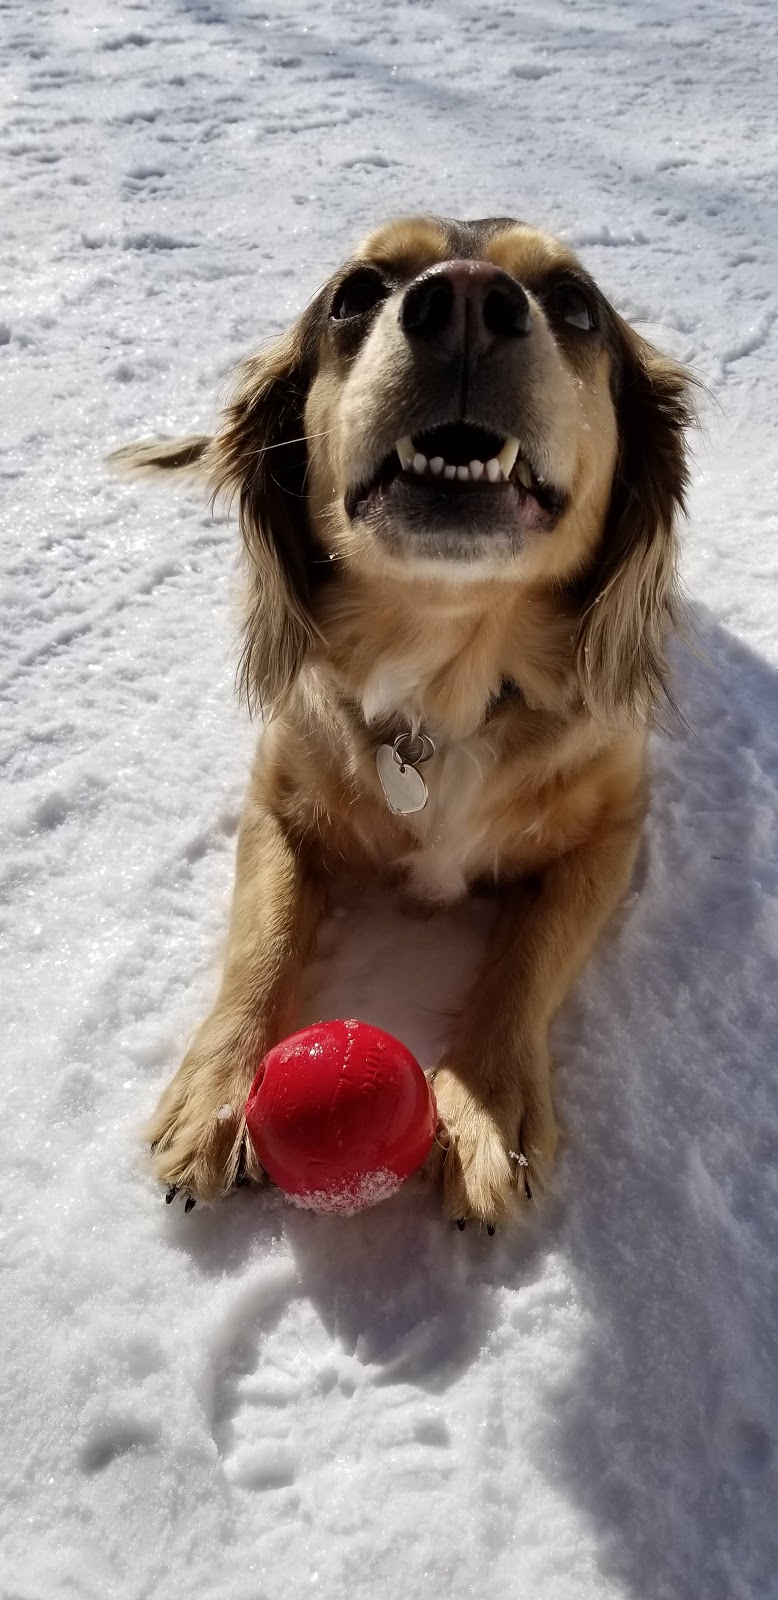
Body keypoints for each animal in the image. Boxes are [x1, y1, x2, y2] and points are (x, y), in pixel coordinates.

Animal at [113, 216, 691, 1222]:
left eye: (575, 304)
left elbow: (526, 959)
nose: (463, 300)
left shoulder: (613, 831)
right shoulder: (277, 804)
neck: (447, 677)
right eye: (356, 293)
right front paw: (219, 1091)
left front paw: (485, 1108)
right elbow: (261, 941)